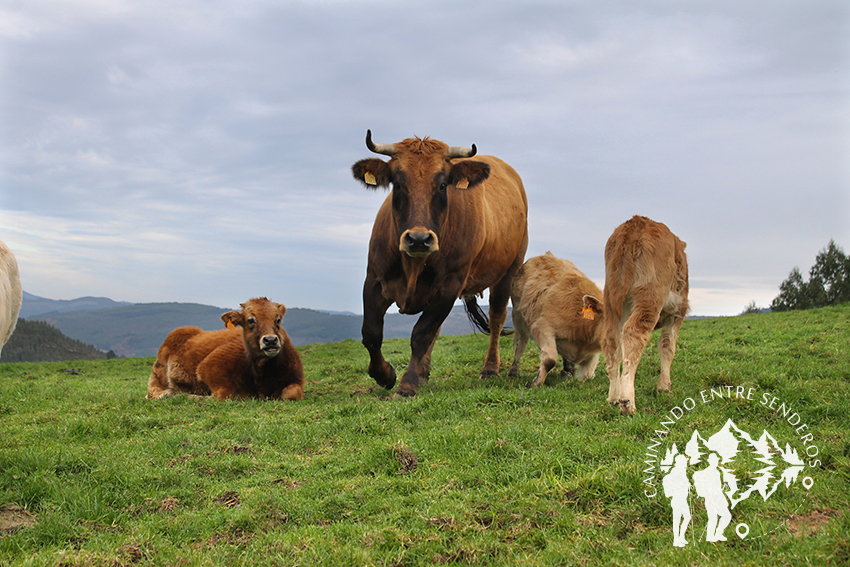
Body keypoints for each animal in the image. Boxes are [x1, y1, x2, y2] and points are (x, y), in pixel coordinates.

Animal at [147, 300, 304, 402]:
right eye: (250, 320)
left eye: (278, 320)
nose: (270, 340)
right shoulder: (208, 368)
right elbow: (221, 395)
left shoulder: (296, 379)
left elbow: (292, 392)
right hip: (158, 375)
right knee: (153, 391)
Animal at [350, 131, 524, 398]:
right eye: (397, 183)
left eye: (443, 185)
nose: (419, 239)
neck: (412, 266)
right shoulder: (374, 281)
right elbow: (371, 333)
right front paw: (385, 375)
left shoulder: (449, 286)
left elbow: (421, 334)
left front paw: (407, 384)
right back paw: (423, 372)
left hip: (510, 270)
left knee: (496, 316)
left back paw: (490, 368)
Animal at [504, 255, 604, 388]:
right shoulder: (542, 328)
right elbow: (549, 360)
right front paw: (535, 382)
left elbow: (588, 373)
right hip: (518, 319)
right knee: (519, 345)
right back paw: (513, 372)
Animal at [600, 215, 684, 414]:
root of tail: (636, 222)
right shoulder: (677, 314)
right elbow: (668, 346)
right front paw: (664, 387)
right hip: (650, 295)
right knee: (633, 333)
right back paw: (627, 401)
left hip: (611, 298)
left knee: (612, 340)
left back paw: (613, 397)